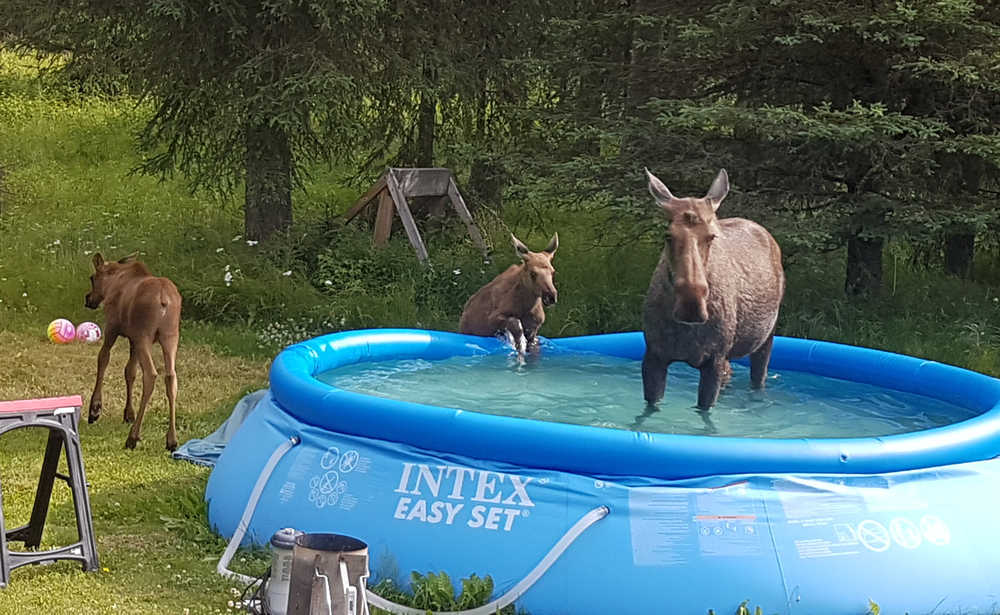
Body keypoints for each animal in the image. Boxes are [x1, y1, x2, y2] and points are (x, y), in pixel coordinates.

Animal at [85, 251, 183, 452]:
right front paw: (128, 413)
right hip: (170, 336)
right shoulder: (133, 340)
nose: (89, 299)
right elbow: (129, 372)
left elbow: (103, 359)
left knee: (151, 374)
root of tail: (163, 299)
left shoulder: (113, 327)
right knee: (171, 376)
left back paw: (133, 437)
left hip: (144, 335)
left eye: (92, 277)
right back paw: (171, 440)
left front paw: (95, 409)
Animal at [640, 167, 788, 414]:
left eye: (711, 236)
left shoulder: (713, 361)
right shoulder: (654, 357)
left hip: (766, 338)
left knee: (758, 379)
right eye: (668, 236)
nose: (691, 305)